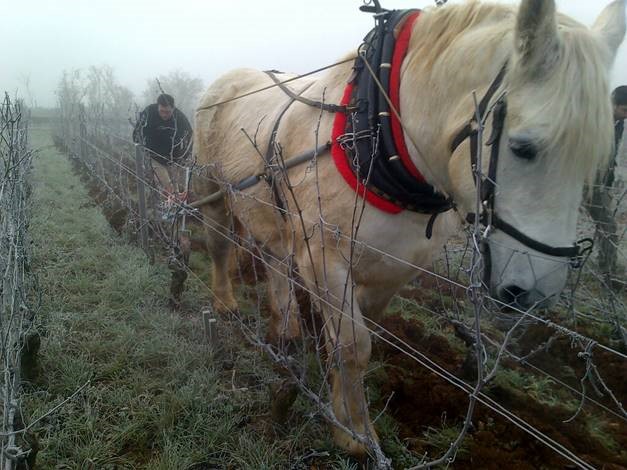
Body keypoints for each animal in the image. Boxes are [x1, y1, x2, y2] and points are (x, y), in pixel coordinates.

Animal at [194, 0, 624, 458]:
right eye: (523, 147)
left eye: (596, 163)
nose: (534, 292)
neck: (374, 135)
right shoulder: (323, 259)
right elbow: (353, 345)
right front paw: (356, 434)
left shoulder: (393, 268)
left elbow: (355, 340)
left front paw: (342, 414)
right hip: (213, 191)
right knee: (219, 246)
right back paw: (225, 304)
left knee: (274, 258)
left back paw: (286, 326)